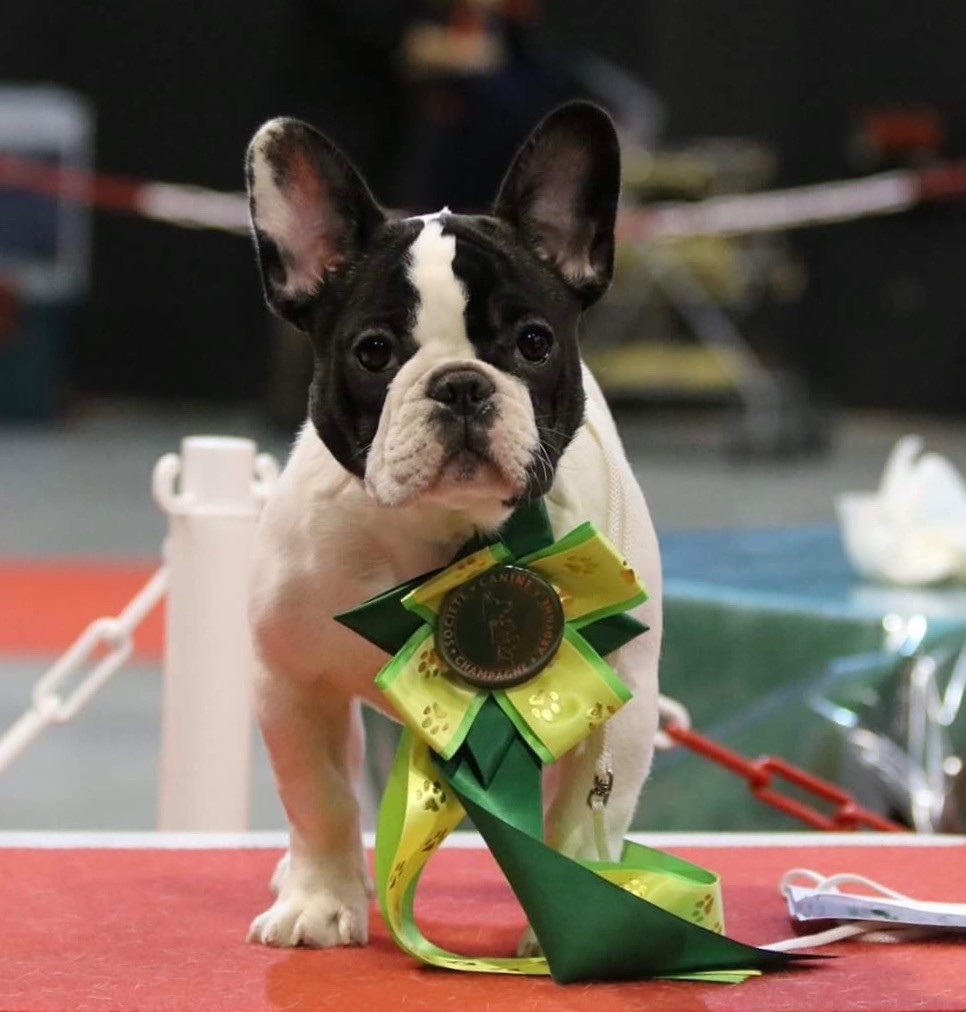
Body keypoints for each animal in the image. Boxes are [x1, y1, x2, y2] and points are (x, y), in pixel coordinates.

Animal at [245, 100, 659, 947]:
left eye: (533, 342)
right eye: (374, 353)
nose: (461, 384)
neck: (439, 538)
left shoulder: (617, 698)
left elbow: (586, 816)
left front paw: (584, 914)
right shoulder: (292, 685)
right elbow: (319, 800)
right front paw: (319, 901)